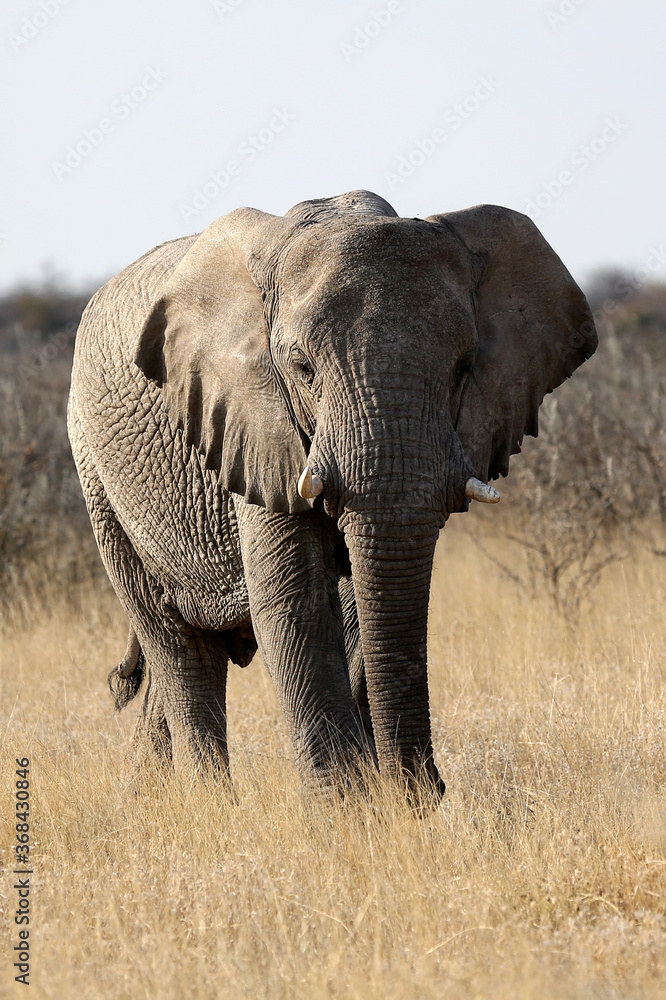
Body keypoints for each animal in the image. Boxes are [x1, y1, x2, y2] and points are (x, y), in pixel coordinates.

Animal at [67, 189, 596, 801]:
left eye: (465, 368)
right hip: (97, 474)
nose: (430, 790)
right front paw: (347, 807)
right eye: (302, 368)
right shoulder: (255, 422)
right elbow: (296, 597)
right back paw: (210, 806)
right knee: (176, 642)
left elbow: (357, 604)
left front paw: (378, 800)